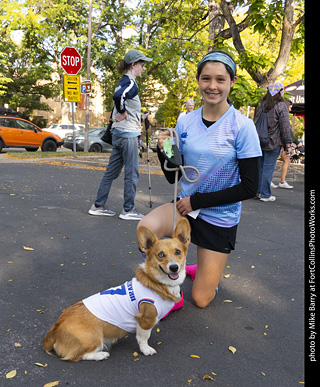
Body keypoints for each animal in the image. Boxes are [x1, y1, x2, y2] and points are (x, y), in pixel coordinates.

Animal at [42, 220, 190, 362]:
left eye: (178, 252)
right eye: (160, 254)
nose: (174, 267)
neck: (157, 282)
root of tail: (55, 329)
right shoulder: (146, 319)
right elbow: (144, 337)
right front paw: (146, 349)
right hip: (94, 337)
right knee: (78, 356)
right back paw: (101, 355)